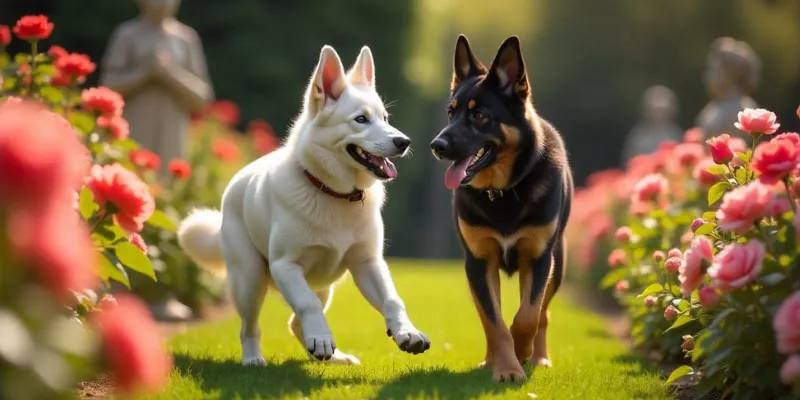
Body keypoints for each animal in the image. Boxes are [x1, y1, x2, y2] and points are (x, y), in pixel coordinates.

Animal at [177, 44, 432, 366]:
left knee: (296, 322)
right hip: (250, 280)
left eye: (385, 118)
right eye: (361, 119)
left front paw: (406, 332)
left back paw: (334, 356)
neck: (334, 194)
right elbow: (306, 304)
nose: (404, 141)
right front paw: (321, 339)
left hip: (323, 286)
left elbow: (391, 299)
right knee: (251, 327)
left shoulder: (368, 263)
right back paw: (255, 359)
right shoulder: (286, 265)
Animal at [428, 36, 572, 382]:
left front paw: (522, 354)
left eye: (479, 116)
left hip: (558, 264)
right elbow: (494, 323)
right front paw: (506, 367)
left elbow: (527, 317)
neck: (503, 192)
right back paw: (491, 360)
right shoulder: (479, 262)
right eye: (450, 112)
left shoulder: (539, 258)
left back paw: (539, 356)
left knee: (543, 314)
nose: (436, 146)